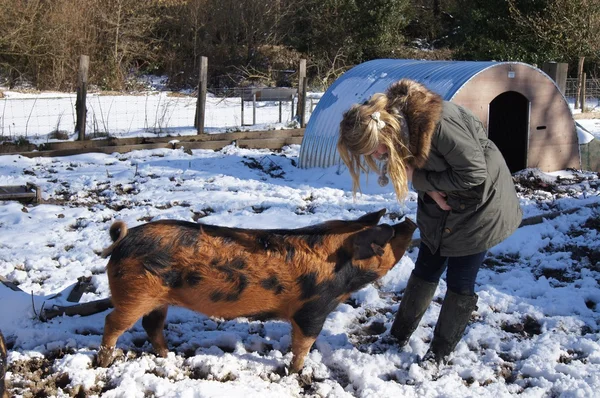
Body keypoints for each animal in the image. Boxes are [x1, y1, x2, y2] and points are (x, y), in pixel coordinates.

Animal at [99, 210, 418, 372]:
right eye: (387, 240)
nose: (409, 221)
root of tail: (122, 240)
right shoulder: (312, 309)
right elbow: (304, 343)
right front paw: (296, 372)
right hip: (135, 294)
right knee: (112, 322)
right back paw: (104, 361)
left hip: (157, 299)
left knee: (151, 325)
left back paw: (167, 356)